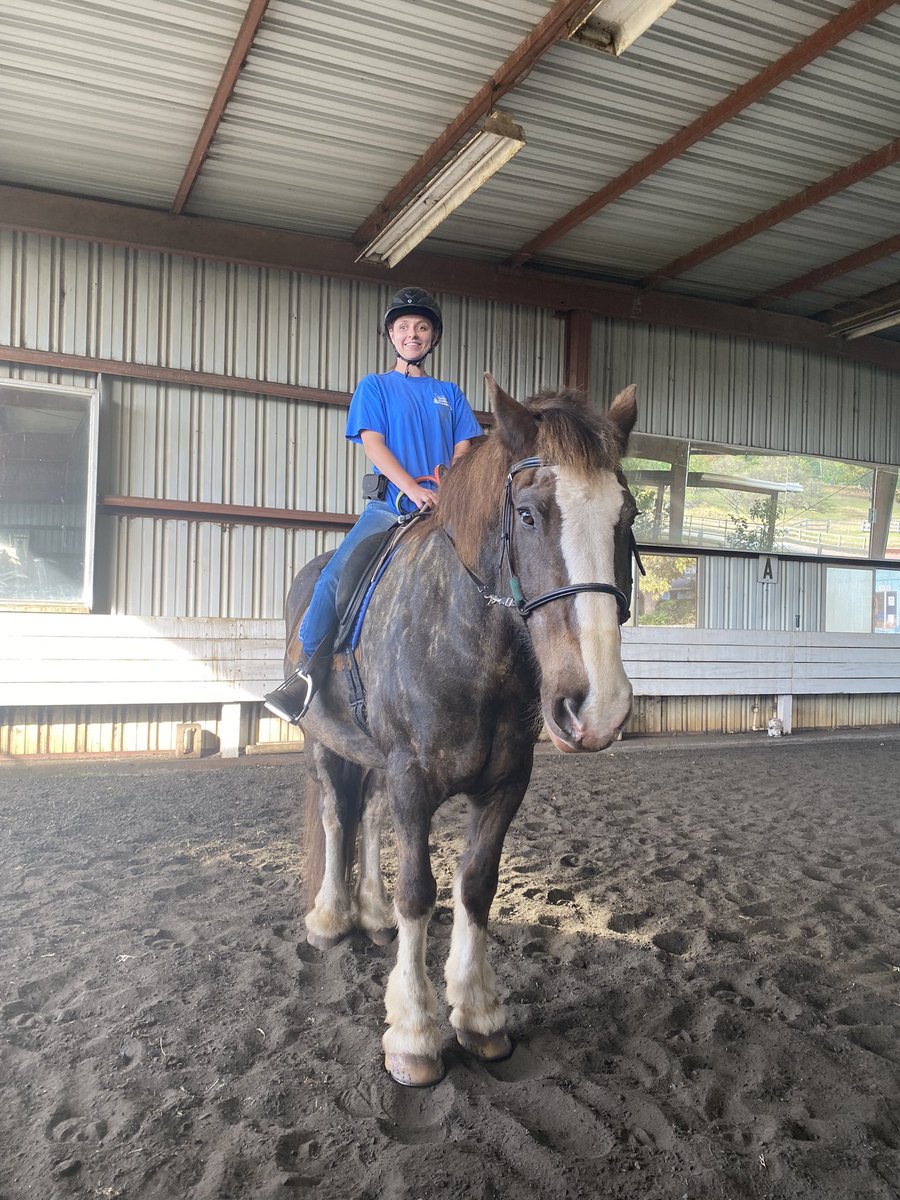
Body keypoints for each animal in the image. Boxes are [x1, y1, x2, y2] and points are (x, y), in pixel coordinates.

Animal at [285, 374, 638, 1087]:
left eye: (629, 516)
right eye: (528, 514)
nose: (598, 707)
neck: (468, 647)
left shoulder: (505, 784)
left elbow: (476, 885)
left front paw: (478, 1016)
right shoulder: (413, 779)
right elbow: (418, 892)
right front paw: (414, 1034)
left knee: (366, 814)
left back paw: (370, 915)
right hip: (322, 741)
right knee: (336, 813)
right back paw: (331, 918)